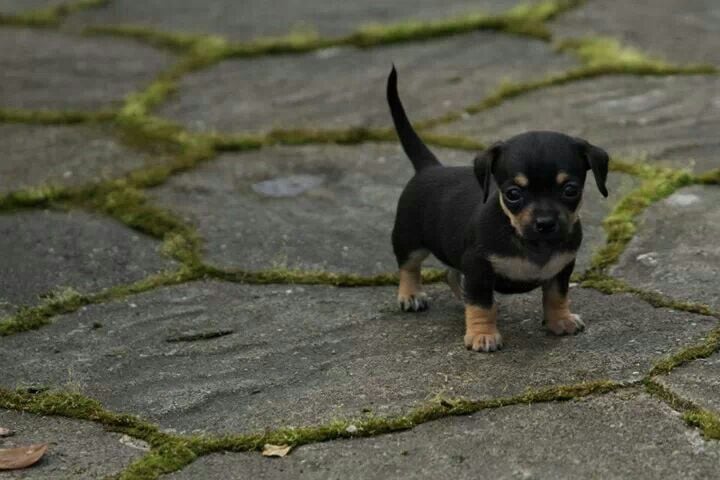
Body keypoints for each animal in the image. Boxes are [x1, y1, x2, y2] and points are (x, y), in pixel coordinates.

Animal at [388, 67, 608, 352]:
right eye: (513, 193)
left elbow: (557, 296)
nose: (545, 223)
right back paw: (411, 294)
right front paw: (482, 335)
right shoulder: (478, 267)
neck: (531, 243)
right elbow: (482, 304)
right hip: (409, 239)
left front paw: (561, 320)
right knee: (409, 266)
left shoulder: (562, 268)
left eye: (570, 190)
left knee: (451, 274)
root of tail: (430, 167)